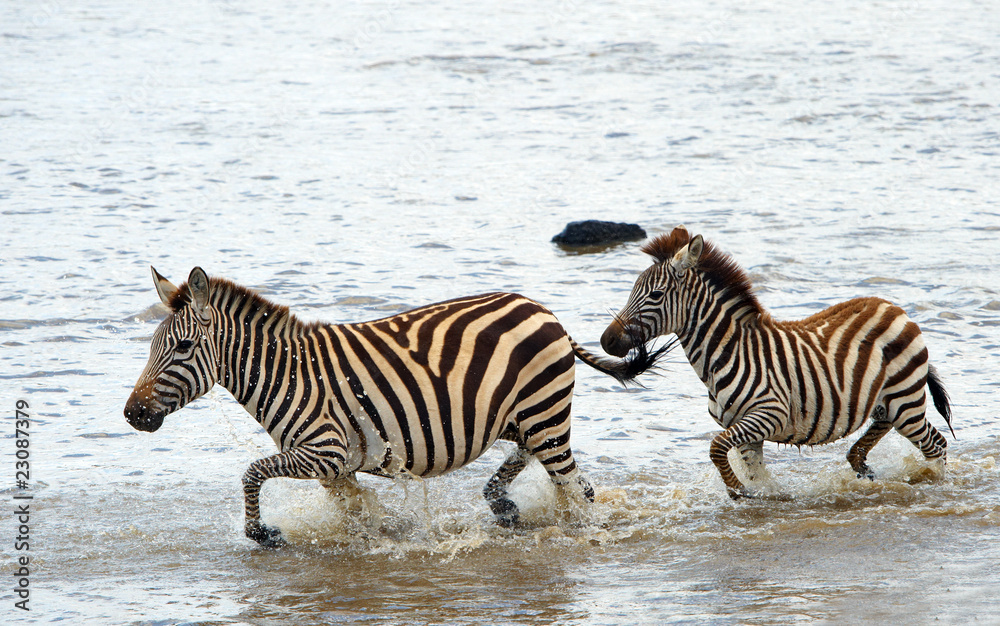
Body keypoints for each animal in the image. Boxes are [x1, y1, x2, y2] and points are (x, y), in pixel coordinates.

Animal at [124, 267, 657, 546]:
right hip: (517, 416)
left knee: (579, 489)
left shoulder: (324, 453)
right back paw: (501, 501)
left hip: (543, 412)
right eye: (152, 346)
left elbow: (251, 471)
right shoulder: (333, 468)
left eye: (183, 348)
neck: (286, 374)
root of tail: (545, 310)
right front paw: (381, 531)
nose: (132, 414)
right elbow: (359, 510)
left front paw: (262, 533)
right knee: (535, 459)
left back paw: (580, 531)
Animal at [600, 226, 955, 498]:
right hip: (885, 402)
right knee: (883, 431)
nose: (606, 341)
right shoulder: (745, 430)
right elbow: (751, 471)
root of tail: (895, 308)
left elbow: (715, 447)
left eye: (656, 295)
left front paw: (737, 491)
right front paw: (759, 493)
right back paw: (863, 466)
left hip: (905, 401)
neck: (729, 352)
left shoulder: (769, 414)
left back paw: (934, 483)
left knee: (936, 444)